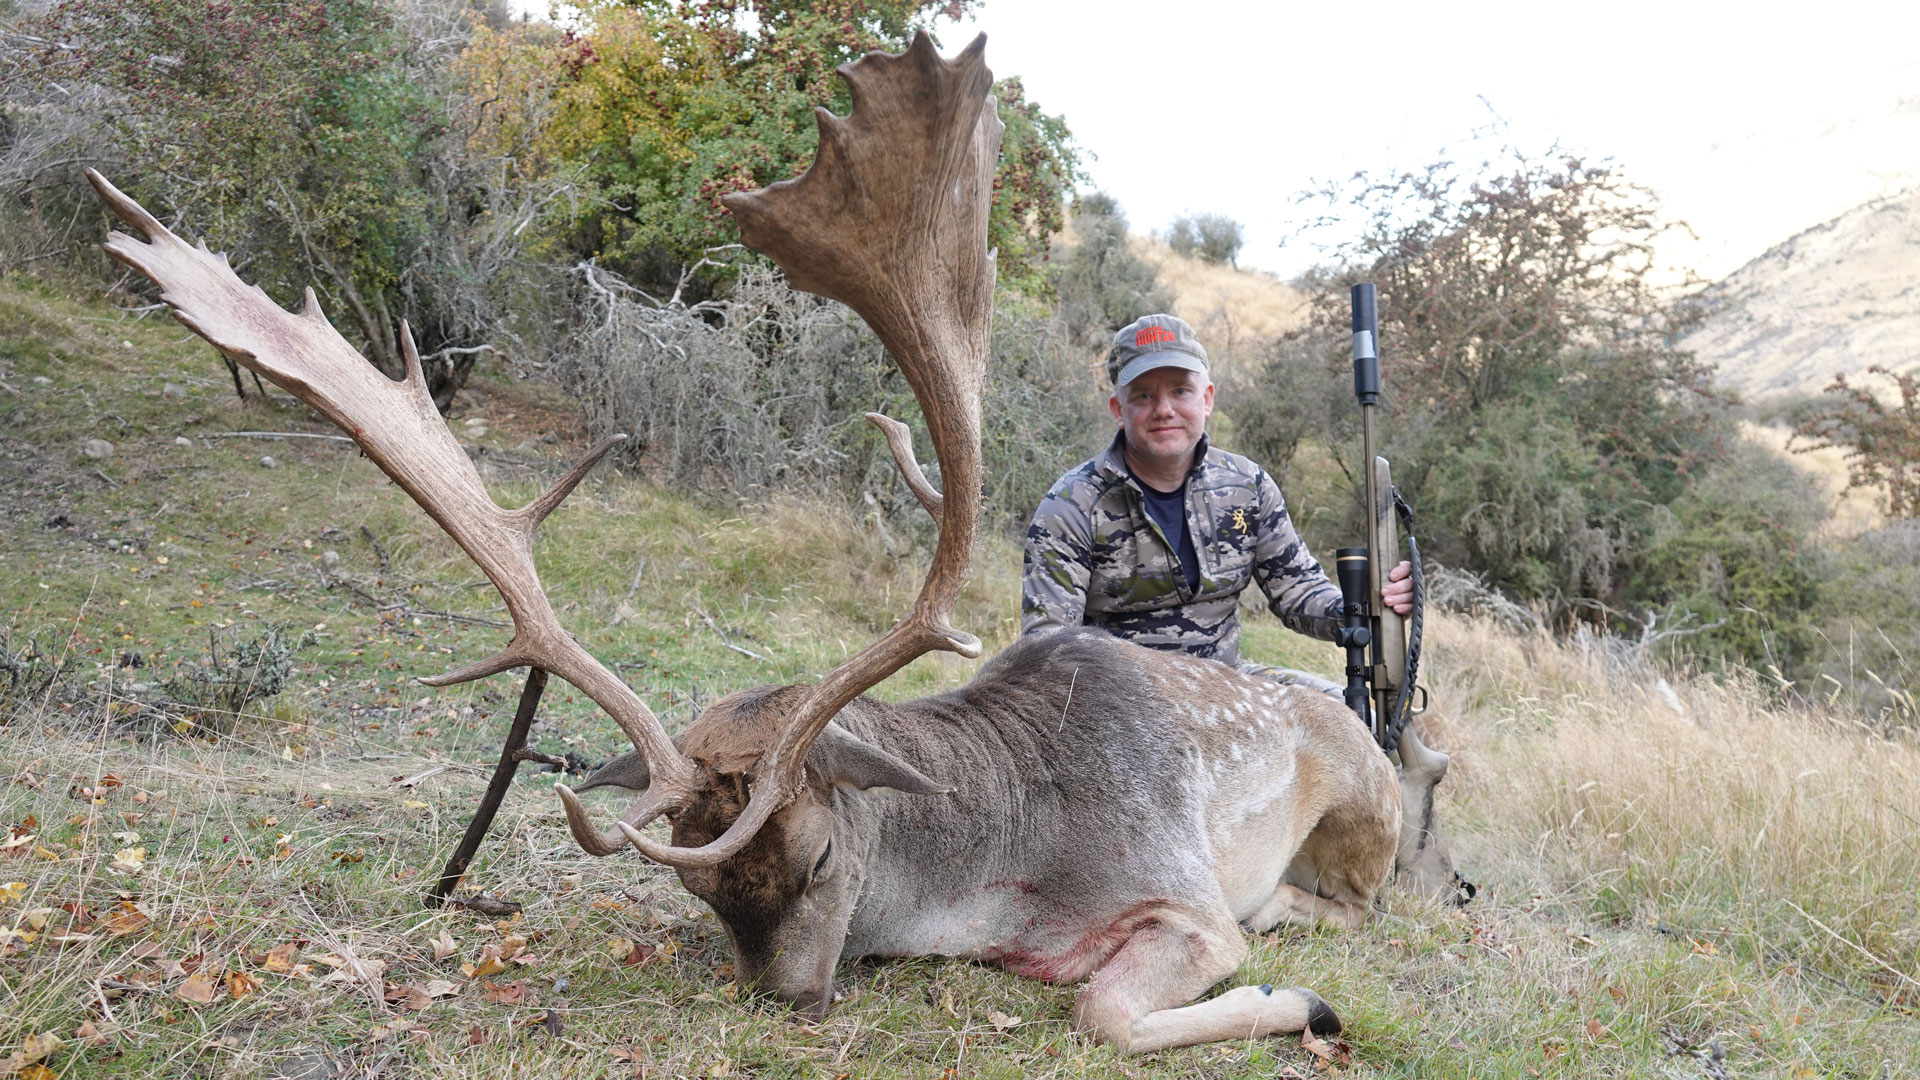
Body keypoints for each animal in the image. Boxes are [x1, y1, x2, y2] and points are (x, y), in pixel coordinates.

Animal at [86, 33, 1466, 1053]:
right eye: (696, 890)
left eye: (816, 861)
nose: (787, 998)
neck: (1000, 869)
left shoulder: (1181, 895)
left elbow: (1109, 1009)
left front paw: (1298, 1003)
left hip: (1363, 808)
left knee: (1370, 892)